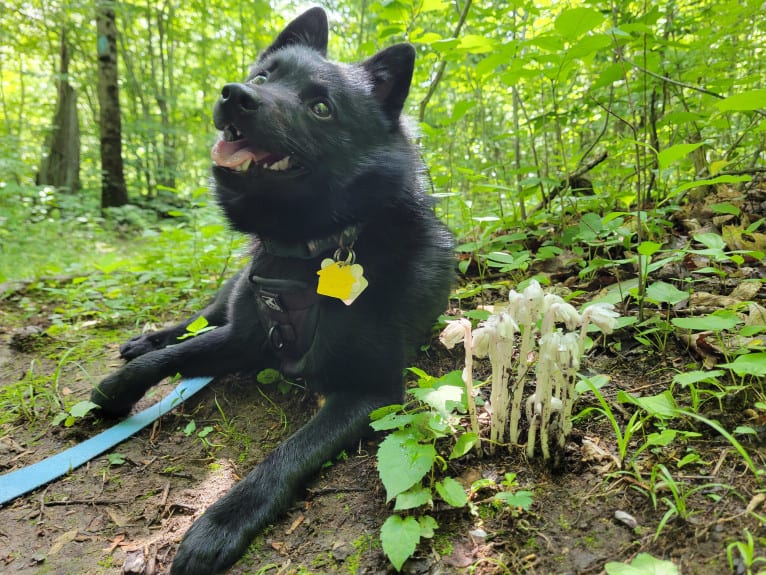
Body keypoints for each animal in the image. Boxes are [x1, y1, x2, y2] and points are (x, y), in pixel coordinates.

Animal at [94, 9, 460, 575]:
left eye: (321, 107)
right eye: (264, 76)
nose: (235, 94)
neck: (303, 253)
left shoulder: (370, 393)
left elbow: (285, 455)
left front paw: (221, 523)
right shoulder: (245, 338)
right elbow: (173, 356)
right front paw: (119, 385)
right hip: (231, 294)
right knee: (198, 318)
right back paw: (146, 338)